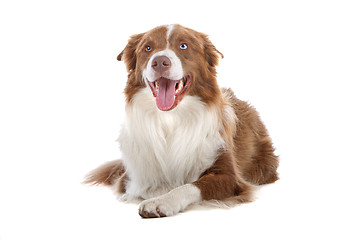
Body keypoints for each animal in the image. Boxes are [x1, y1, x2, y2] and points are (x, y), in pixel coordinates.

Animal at [83, 23, 278, 218]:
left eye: (183, 46)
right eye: (148, 48)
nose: (160, 62)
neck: (171, 118)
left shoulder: (230, 176)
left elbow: (188, 186)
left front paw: (161, 202)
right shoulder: (130, 177)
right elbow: (148, 186)